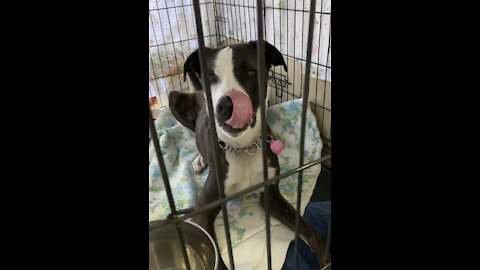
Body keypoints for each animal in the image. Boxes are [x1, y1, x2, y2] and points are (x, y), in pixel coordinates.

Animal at [167, 40, 328, 270]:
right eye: (210, 76)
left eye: (251, 72)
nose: (226, 105)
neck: (243, 148)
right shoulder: (203, 211)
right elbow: (218, 261)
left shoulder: (271, 196)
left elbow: (309, 230)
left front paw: (325, 257)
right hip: (175, 99)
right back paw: (199, 160)